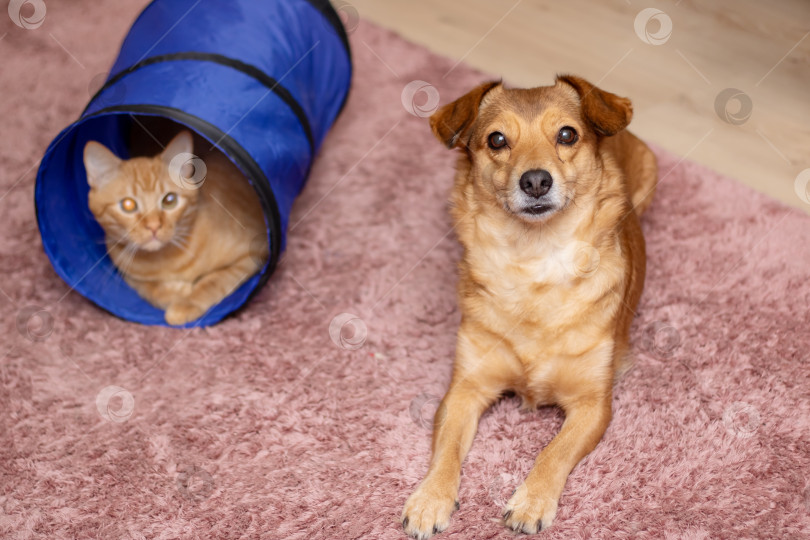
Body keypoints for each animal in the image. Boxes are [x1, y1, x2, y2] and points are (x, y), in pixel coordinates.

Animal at [85, 131, 268, 324]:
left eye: (169, 200)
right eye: (128, 205)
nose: (154, 226)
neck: (165, 260)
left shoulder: (255, 252)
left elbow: (216, 279)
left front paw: (186, 304)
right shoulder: (128, 274)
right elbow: (149, 289)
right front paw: (174, 293)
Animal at [400, 74, 656, 536]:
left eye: (567, 135)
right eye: (497, 140)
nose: (536, 181)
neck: (536, 262)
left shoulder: (593, 407)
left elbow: (554, 451)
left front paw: (532, 501)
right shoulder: (464, 391)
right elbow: (446, 451)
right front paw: (431, 497)